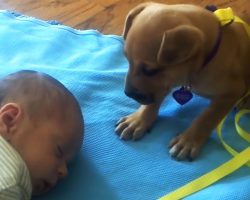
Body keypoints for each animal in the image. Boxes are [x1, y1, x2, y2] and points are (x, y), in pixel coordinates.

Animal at [115, 2, 250, 160]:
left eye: (150, 70)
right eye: (126, 60)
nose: (127, 93)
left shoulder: (230, 93)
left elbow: (207, 117)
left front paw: (188, 141)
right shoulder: (167, 80)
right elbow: (153, 101)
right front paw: (138, 120)